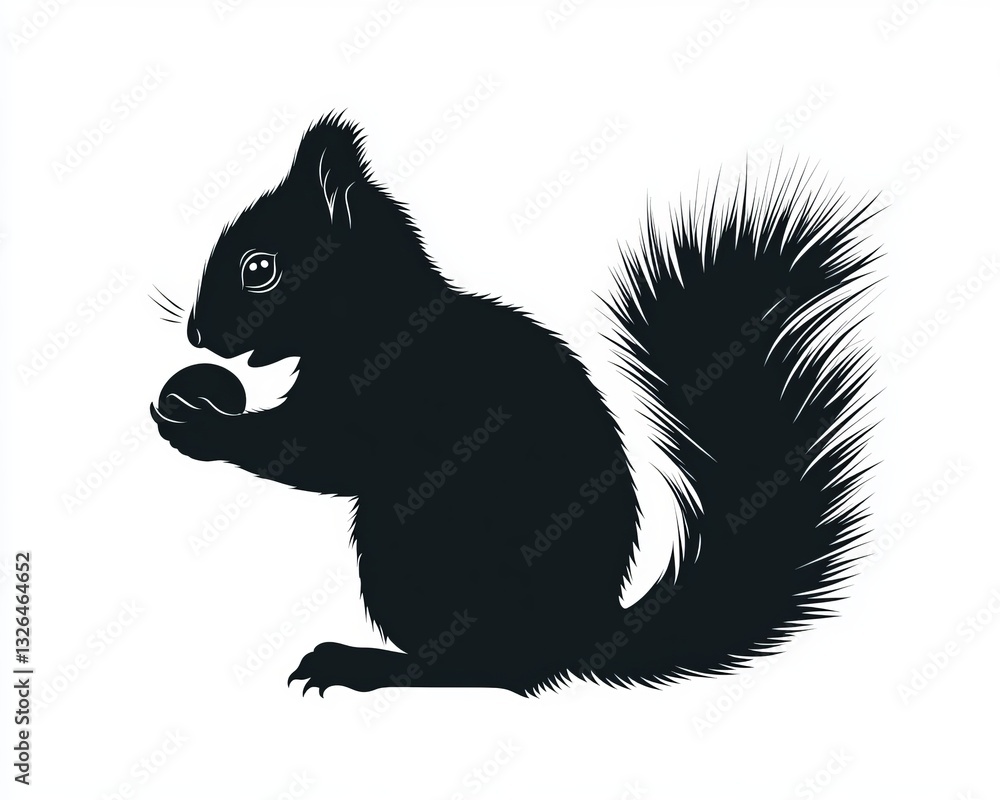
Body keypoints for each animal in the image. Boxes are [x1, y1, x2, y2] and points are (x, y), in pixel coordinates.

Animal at [151, 112, 878, 696]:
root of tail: (582, 635)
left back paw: (366, 666)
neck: (379, 314)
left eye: (259, 267)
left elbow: (322, 455)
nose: (196, 334)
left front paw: (199, 425)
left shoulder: (396, 396)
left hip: (413, 549)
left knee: (484, 667)